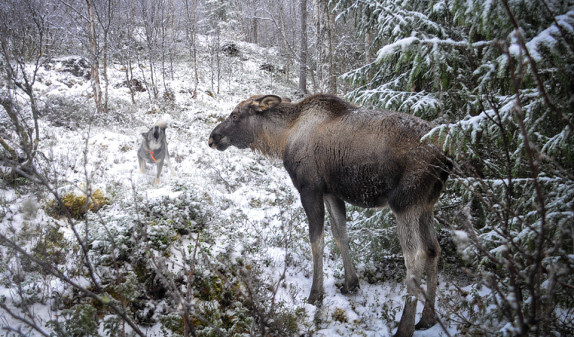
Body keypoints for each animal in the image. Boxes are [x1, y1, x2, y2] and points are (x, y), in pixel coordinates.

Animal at [209, 92, 452, 336]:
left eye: (235, 114)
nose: (212, 137)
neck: (282, 137)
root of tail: (446, 157)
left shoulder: (309, 188)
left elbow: (317, 240)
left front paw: (315, 295)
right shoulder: (331, 192)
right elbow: (340, 234)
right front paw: (351, 283)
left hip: (404, 203)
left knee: (415, 257)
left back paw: (405, 327)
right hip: (426, 204)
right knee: (433, 249)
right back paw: (428, 318)